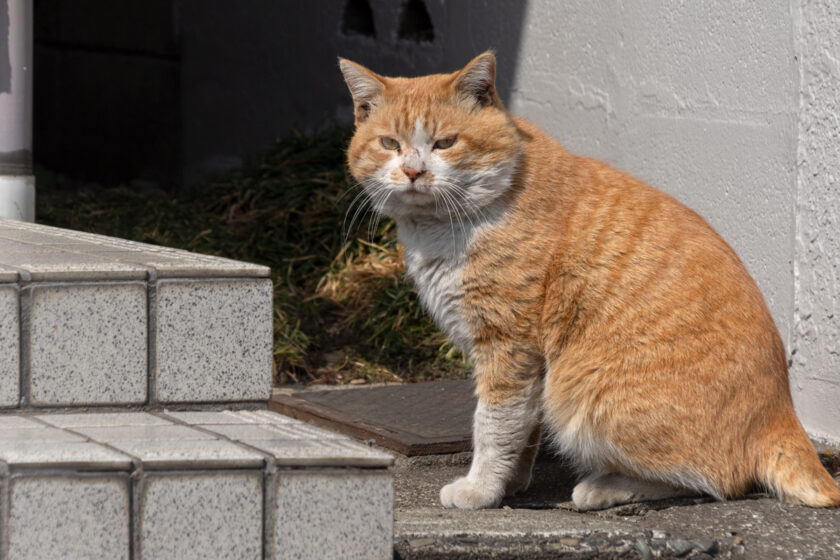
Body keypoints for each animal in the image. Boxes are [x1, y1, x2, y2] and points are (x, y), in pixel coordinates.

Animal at [338, 50, 836, 510]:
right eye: (389, 142)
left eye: (444, 143)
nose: (413, 171)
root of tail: (782, 415)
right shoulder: (527, 362)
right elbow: (523, 429)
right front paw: (511, 485)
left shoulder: (507, 345)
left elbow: (493, 426)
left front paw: (479, 490)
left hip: (583, 397)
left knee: (718, 479)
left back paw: (602, 487)